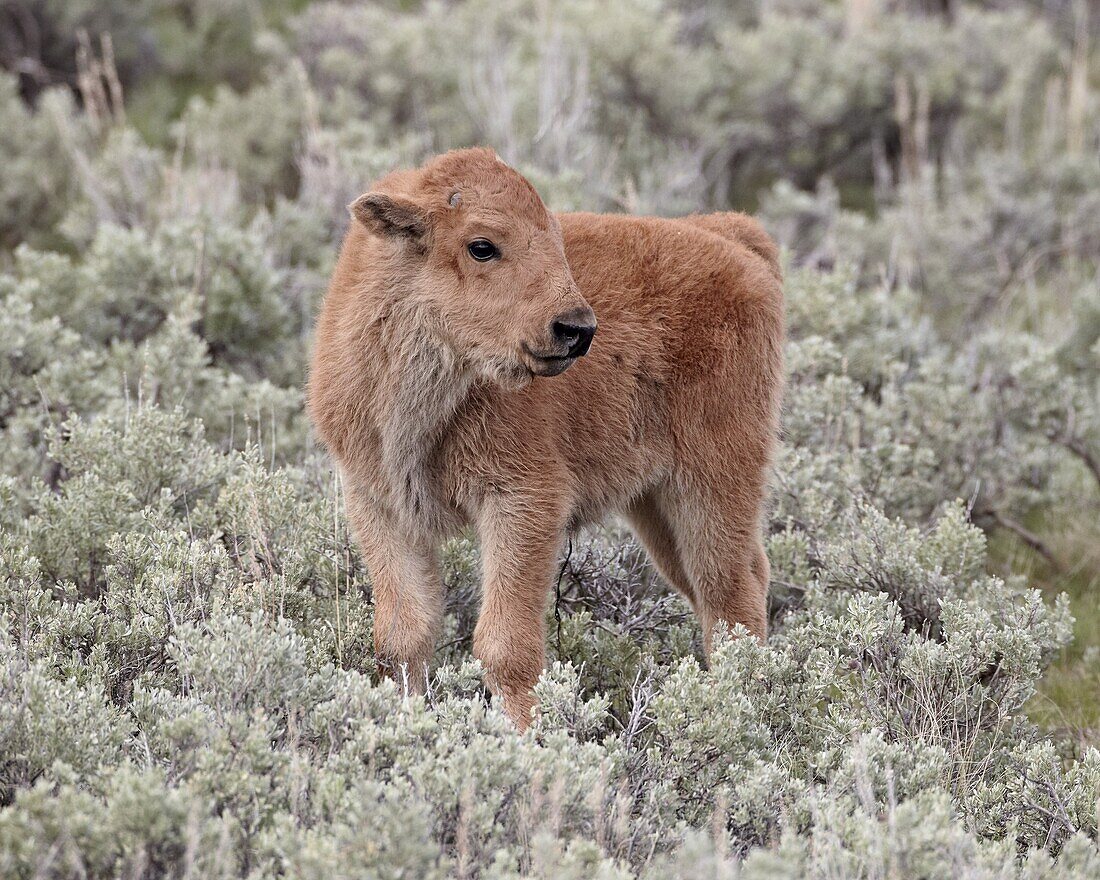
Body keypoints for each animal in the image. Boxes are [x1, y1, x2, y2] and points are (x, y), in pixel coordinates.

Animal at [308, 149, 783, 730]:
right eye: (482, 245)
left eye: (553, 238)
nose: (576, 329)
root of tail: (734, 238)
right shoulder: (380, 505)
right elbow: (403, 636)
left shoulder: (523, 502)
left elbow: (505, 647)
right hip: (656, 505)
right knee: (725, 581)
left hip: (714, 481)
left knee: (728, 593)